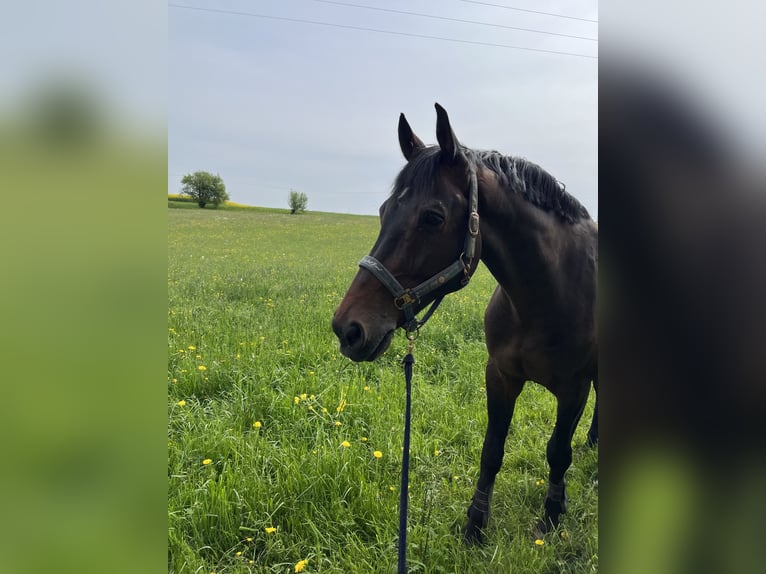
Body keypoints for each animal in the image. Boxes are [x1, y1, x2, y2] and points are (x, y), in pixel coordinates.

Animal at [330, 104, 600, 544]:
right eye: (385, 211)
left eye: (433, 216)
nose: (348, 328)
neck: (547, 295)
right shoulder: (501, 376)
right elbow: (492, 451)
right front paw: (475, 525)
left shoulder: (573, 389)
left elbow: (558, 452)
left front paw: (551, 517)